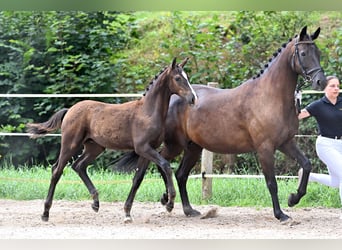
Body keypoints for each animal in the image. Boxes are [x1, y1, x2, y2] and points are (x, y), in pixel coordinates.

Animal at [27, 57, 198, 222]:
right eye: (177, 78)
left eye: (187, 77)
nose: (193, 98)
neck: (147, 112)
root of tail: (70, 110)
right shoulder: (143, 148)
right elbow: (166, 165)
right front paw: (169, 203)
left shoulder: (148, 151)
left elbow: (138, 179)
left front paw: (127, 213)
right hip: (70, 144)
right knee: (57, 170)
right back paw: (45, 213)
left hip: (94, 147)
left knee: (79, 166)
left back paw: (95, 203)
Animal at [116, 26, 328, 222]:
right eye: (303, 53)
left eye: (318, 53)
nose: (321, 82)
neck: (269, 97)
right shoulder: (265, 148)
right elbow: (272, 183)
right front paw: (280, 214)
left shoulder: (286, 143)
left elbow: (307, 165)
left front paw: (293, 198)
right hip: (173, 145)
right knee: (158, 164)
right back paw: (165, 200)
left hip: (193, 147)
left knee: (180, 174)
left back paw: (188, 209)